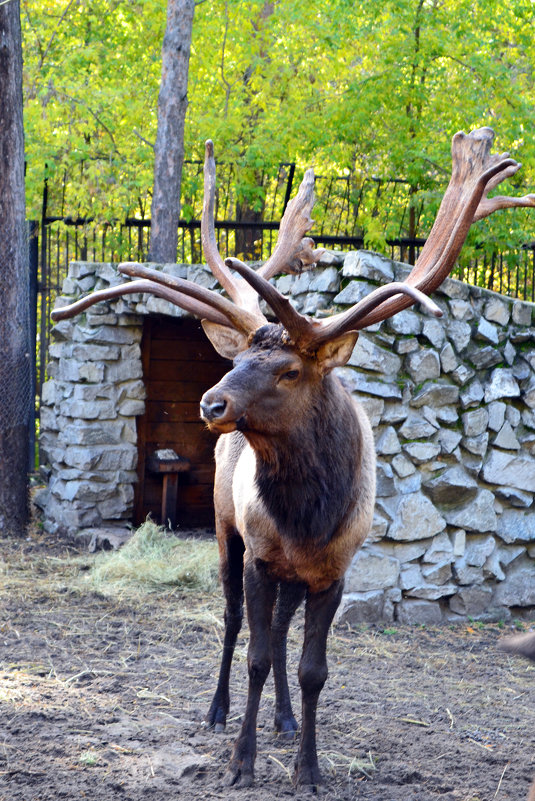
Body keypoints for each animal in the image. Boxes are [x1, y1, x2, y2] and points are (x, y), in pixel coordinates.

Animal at [51, 128, 535, 784]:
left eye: (287, 370)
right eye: (237, 360)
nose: (212, 402)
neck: (309, 517)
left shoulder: (334, 571)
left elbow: (312, 670)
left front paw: (308, 766)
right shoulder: (260, 554)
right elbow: (254, 654)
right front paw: (241, 761)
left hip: (291, 574)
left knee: (280, 632)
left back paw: (281, 718)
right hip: (228, 532)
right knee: (233, 621)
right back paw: (218, 709)